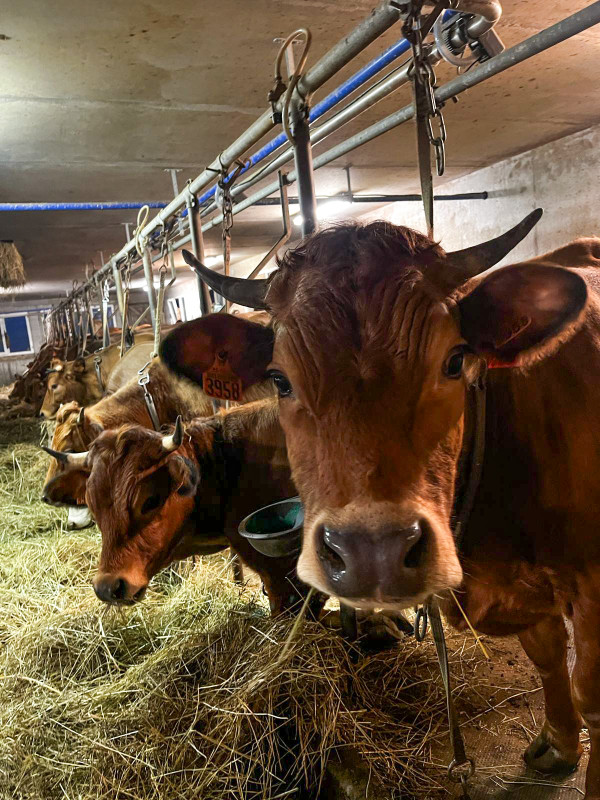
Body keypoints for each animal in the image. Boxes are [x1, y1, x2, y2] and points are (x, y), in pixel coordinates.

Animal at [159, 215, 600, 799]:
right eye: (279, 380)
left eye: (454, 361)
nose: (373, 554)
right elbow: (547, 654)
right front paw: (559, 743)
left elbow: (590, 693)